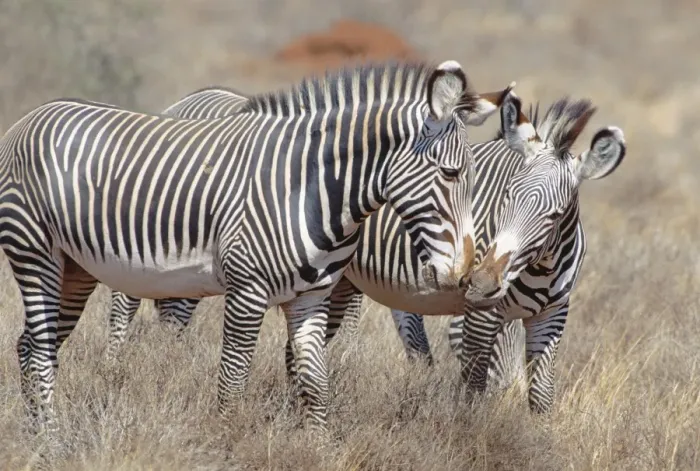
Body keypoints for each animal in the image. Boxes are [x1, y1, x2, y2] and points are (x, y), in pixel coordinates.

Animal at [105, 85, 528, 392]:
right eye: (501, 323)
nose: (510, 396)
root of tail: (186, 100)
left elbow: (415, 345)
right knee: (131, 303)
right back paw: (121, 365)